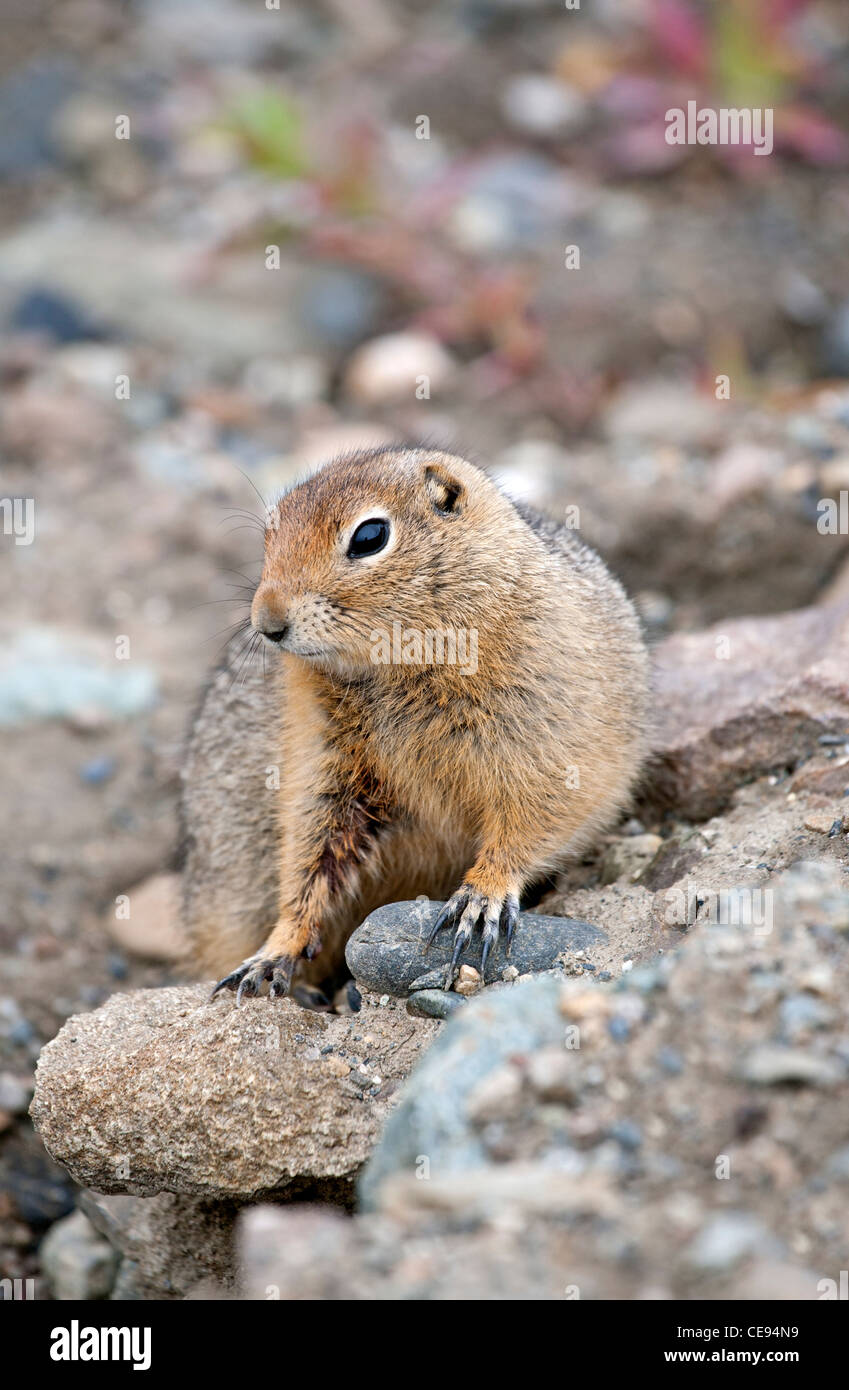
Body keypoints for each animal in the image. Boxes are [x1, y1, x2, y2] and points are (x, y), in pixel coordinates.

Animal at [177, 450, 644, 1006]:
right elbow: (308, 854)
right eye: (268, 536)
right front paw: (273, 953)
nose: (267, 624)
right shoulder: (320, 754)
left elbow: (531, 817)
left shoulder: (546, 734)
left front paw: (479, 898)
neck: (402, 665)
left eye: (369, 536)